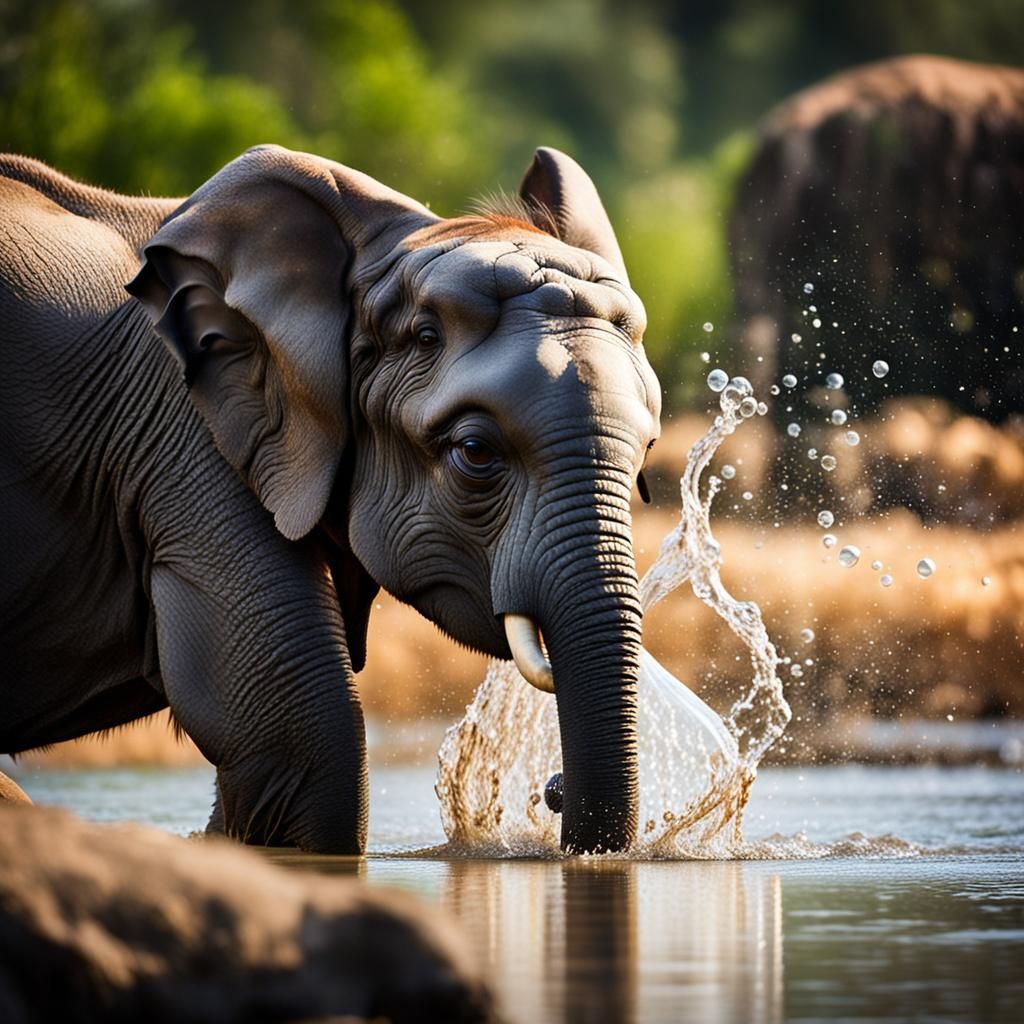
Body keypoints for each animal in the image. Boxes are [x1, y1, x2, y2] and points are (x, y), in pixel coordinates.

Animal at [0, 144, 660, 855]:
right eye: (476, 453)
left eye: (647, 454)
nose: (551, 789)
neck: (384, 248)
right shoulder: (179, 445)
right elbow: (300, 737)